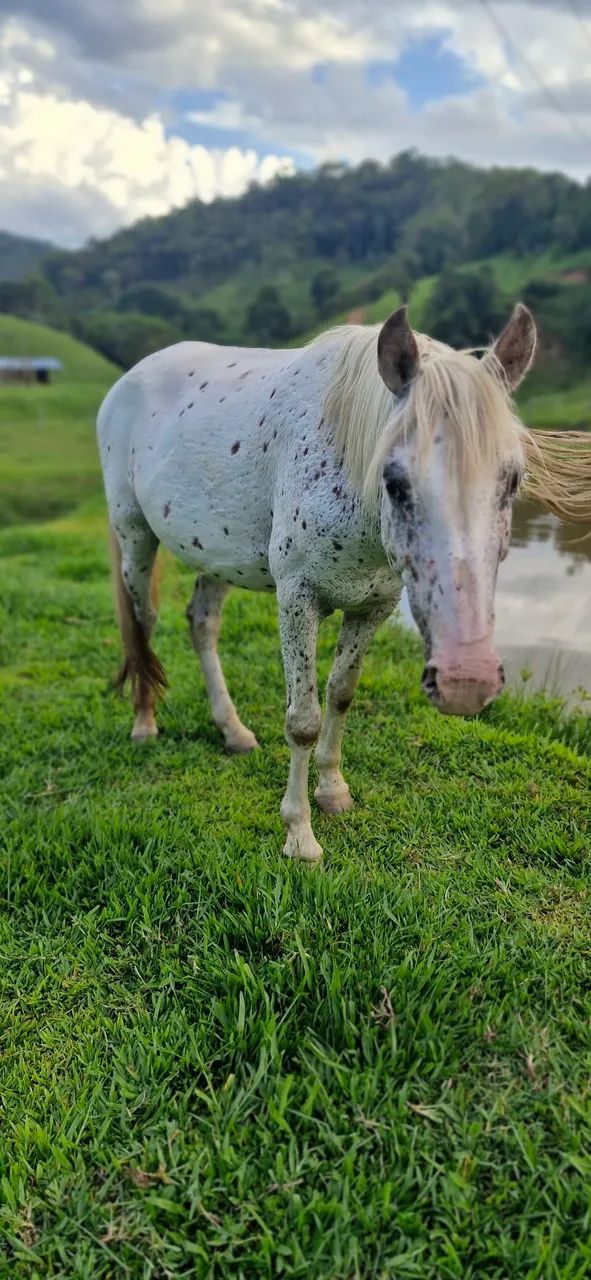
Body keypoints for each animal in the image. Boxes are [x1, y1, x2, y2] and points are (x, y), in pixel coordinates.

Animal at [97, 304, 591, 862]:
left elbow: (340, 694)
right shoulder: (297, 599)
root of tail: (128, 378)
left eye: (512, 481)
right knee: (142, 623)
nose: (466, 682)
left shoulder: (374, 605)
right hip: (134, 535)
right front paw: (299, 835)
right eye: (394, 482)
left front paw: (333, 791)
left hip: (219, 556)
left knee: (201, 624)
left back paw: (233, 731)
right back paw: (144, 722)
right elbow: (303, 719)